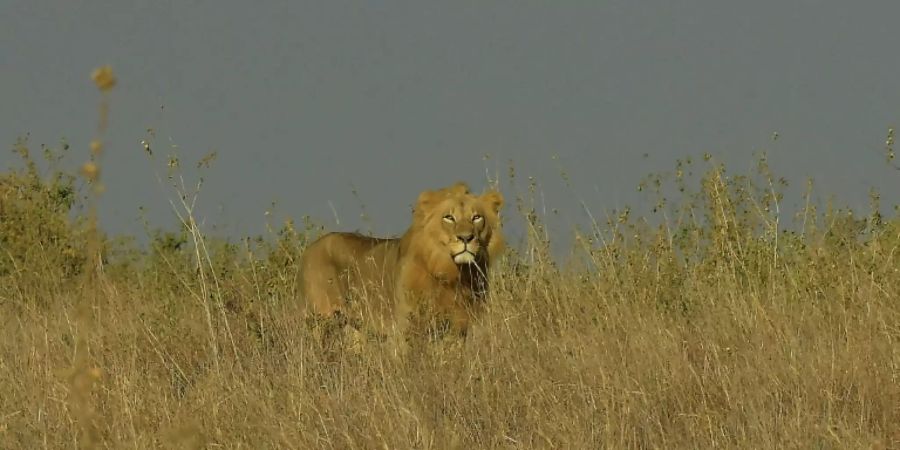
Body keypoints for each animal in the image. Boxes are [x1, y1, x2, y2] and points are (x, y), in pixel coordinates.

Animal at [298, 181, 502, 340]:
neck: (452, 273)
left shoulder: (458, 328)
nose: (466, 238)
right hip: (323, 320)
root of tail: (311, 247)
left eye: (476, 217)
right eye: (449, 217)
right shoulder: (405, 328)